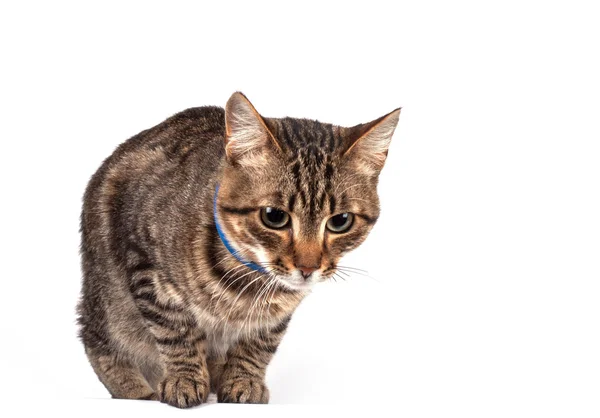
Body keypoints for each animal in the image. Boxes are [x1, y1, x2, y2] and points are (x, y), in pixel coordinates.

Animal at [77, 92, 400, 408]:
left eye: (340, 221)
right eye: (274, 216)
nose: (308, 268)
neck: (246, 278)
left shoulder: (277, 313)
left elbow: (259, 344)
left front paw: (243, 380)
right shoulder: (144, 262)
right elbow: (176, 330)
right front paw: (184, 377)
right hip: (106, 304)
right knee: (98, 339)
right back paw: (137, 389)